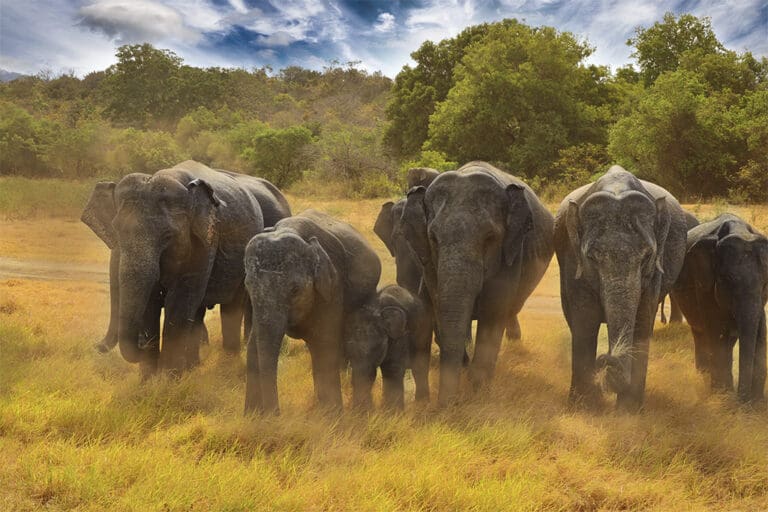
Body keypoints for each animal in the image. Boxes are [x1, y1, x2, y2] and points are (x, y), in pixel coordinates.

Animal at [81, 160, 289, 375]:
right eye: (117, 231)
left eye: (168, 236)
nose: (97, 347)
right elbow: (151, 301)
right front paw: (150, 379)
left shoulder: (206, 240)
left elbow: (181, 298)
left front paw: (169, 378)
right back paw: (195, 365)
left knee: (233, 305)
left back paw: (228, 363)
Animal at [243, 209, 382, 414]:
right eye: (248, 285)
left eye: (295, 290)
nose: (276, 415)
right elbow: (253, 346)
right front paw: (252, 416)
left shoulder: (332, 286)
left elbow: (324, 345)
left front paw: (332, 416)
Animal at [400, 161, 554, 405]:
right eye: (433, 238)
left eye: (490, 238)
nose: (449, 405)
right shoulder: (430, 263)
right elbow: (438, 304)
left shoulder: (511, 253)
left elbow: (494, 311)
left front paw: (478, 390)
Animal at [554, 165, 688, 411]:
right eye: (592, 257)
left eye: (646, 256)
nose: (605, 359)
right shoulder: (572, 258)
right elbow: (585, 320)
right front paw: (583, 408)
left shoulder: (655, 269)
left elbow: (642, 321)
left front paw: (628, 412)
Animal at [671, 213, 768, 403]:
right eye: (728, 280)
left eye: (764, 283)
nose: (743, 402)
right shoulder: (703, 280)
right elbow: (716, 328)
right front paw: (722, 396)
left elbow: (761, 332)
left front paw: (756, 403)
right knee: (701, 332)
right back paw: (704, 375)